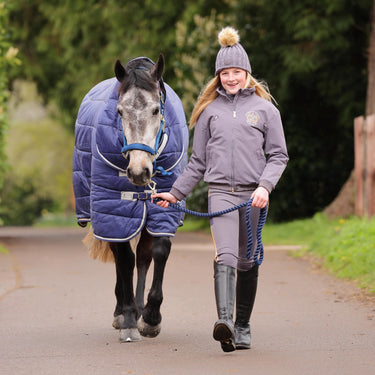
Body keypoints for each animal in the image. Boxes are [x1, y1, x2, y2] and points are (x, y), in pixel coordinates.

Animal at [73, 55, 189, 344]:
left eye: (156, 110)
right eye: (120, 112)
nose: (138, 172)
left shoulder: (162, 207)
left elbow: (158, 252)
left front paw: (150, 318)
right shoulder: (114, 208)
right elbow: (123, 258)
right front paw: (126, 318)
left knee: (143, 258)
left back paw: (140, 309)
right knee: (121, 256)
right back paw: (123, 311)